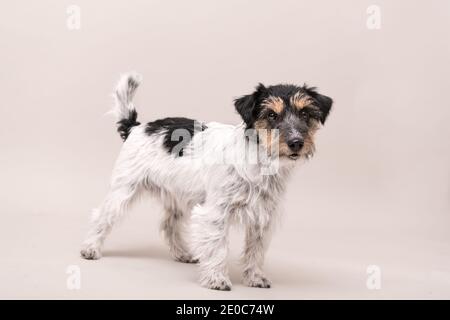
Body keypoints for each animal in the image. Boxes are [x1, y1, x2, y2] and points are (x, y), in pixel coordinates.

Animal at [81, 74, 330, 292]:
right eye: (271, 115)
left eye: (305, 113)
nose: (296, 142)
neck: (259, 159)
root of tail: (136, 127)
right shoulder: (215, 213)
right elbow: (217, 248)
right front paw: (216, 279)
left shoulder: (262, 218)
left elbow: (255, 250)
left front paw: (255, 277)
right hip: (123, 191)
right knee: (101, 216)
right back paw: (90, 248)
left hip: (177, 196)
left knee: (168, 225)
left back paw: (182, 254)